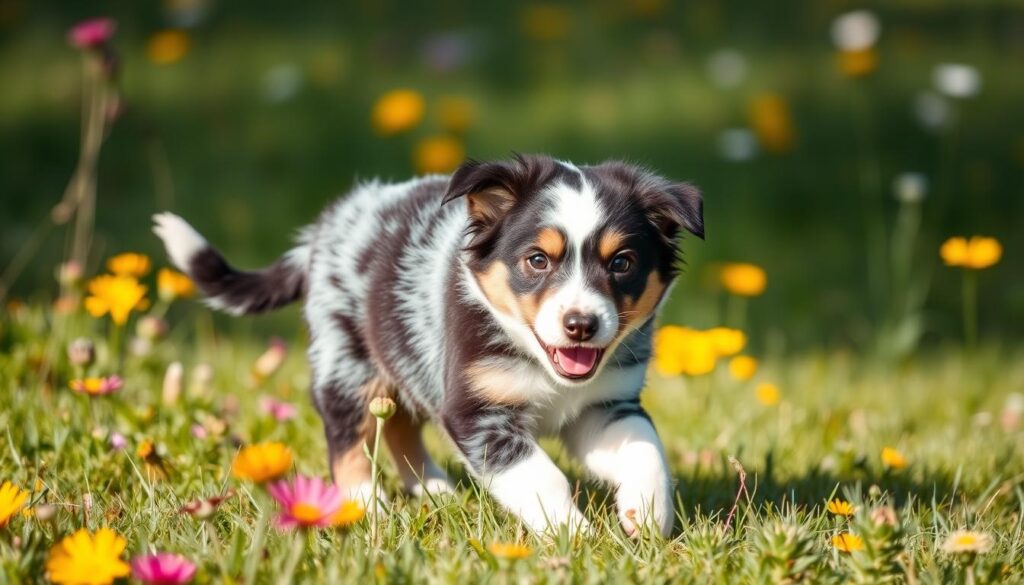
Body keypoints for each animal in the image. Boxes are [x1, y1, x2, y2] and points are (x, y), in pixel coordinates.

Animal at [153, 153, 704, 536]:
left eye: (622, 263)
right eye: (537, 260)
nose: (581, 325)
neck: (539, 364)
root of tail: (328, 224)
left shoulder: (604, 405)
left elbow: (646, 448)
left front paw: (647, 515)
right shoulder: (476, 411)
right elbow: (541, 477)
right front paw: (572, 535)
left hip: (407, 361)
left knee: (399, 426)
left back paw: (435, 491)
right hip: (346, 360)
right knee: (348, 438)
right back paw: (365, 506)